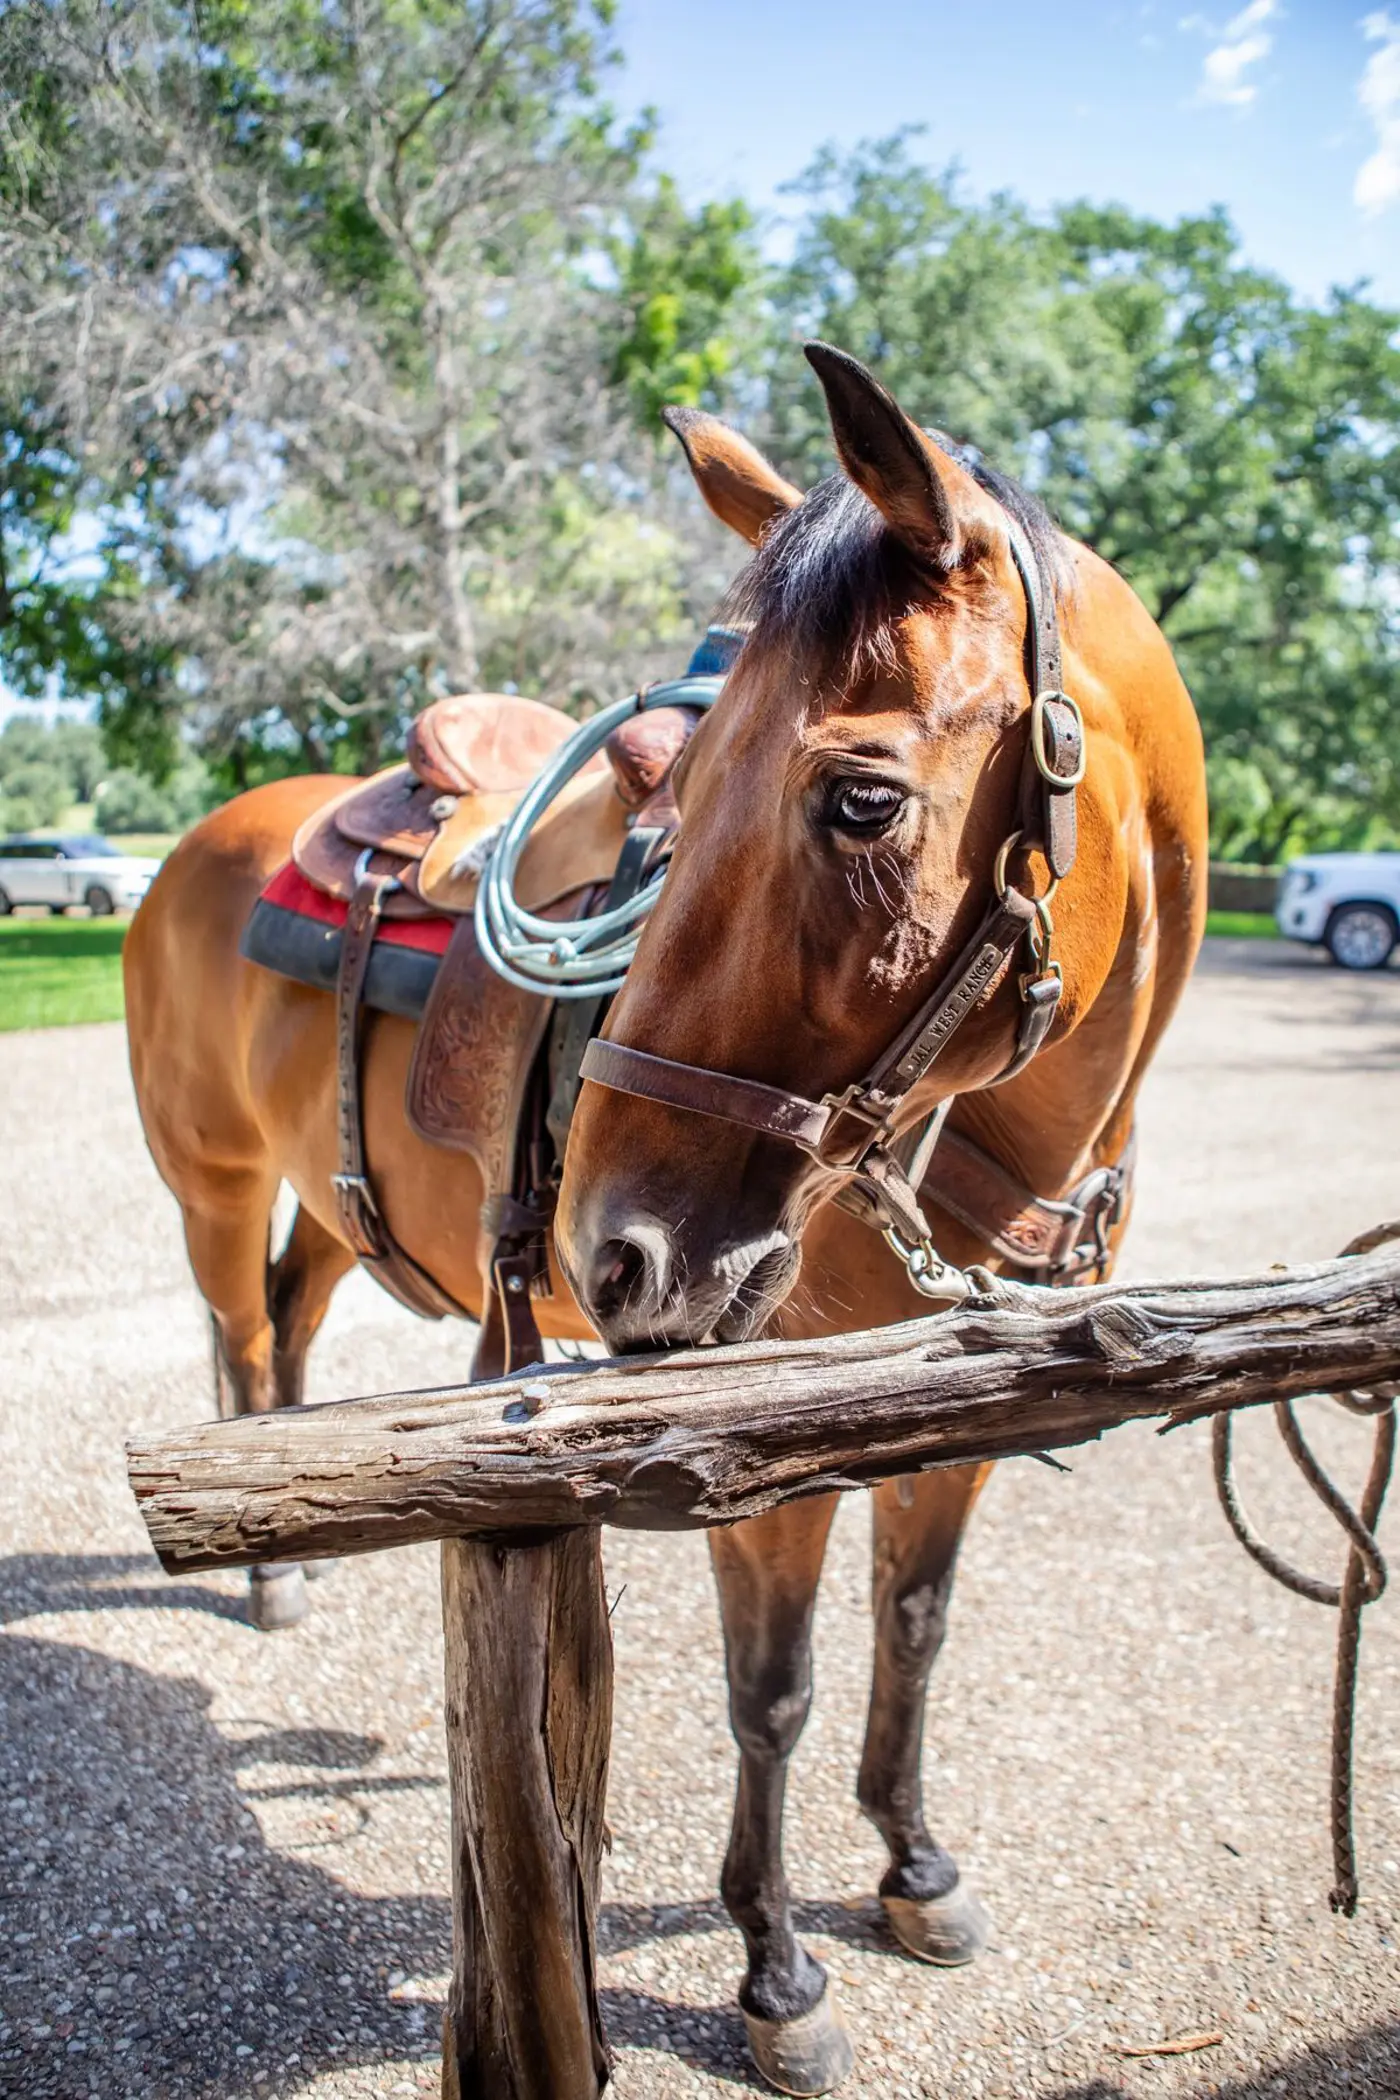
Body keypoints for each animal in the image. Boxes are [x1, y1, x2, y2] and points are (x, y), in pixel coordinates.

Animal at [553, 343, 1208, 2092]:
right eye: (668, 794)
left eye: (858, 803)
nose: (609, 1251)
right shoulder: (755, 1470)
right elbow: (769, 1693)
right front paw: (776, 1968)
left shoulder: (957, 1433)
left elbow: (912, 1629)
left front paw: (912, 1865)